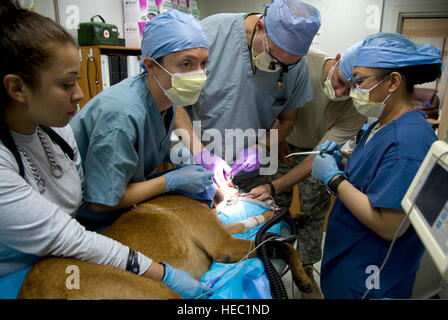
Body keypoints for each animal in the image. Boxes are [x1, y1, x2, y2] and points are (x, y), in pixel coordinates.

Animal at [17, 194, 312, 298]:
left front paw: (294, 214)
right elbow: (281, 244)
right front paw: (302, 277)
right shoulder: (224, 245)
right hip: (156, 289)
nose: (273, 199)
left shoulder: (223, 233)